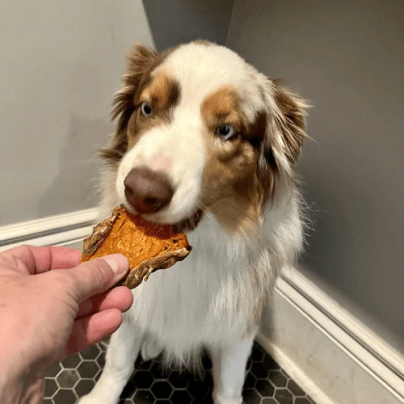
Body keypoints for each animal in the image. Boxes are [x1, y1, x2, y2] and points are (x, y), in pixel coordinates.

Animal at [78, 40, 306, 404]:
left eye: (226, 131)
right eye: (146, 108)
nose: (141, 192)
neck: (201, 243)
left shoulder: (238, 326)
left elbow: (229, 386)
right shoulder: (133, 306)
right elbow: (118, 361)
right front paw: (100, 397)